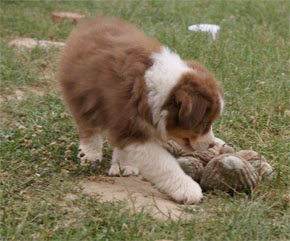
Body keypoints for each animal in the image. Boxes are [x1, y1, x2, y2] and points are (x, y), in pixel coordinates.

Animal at [57, 16, 223, 203]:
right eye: (204, 124)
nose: (211, 144)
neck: (162, 89)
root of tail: (93, 21)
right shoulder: (128, 123)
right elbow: (162, 162)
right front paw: (188, 189)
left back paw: (123, 166)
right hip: (83, 96)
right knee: (89, 128)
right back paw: (90, 156)